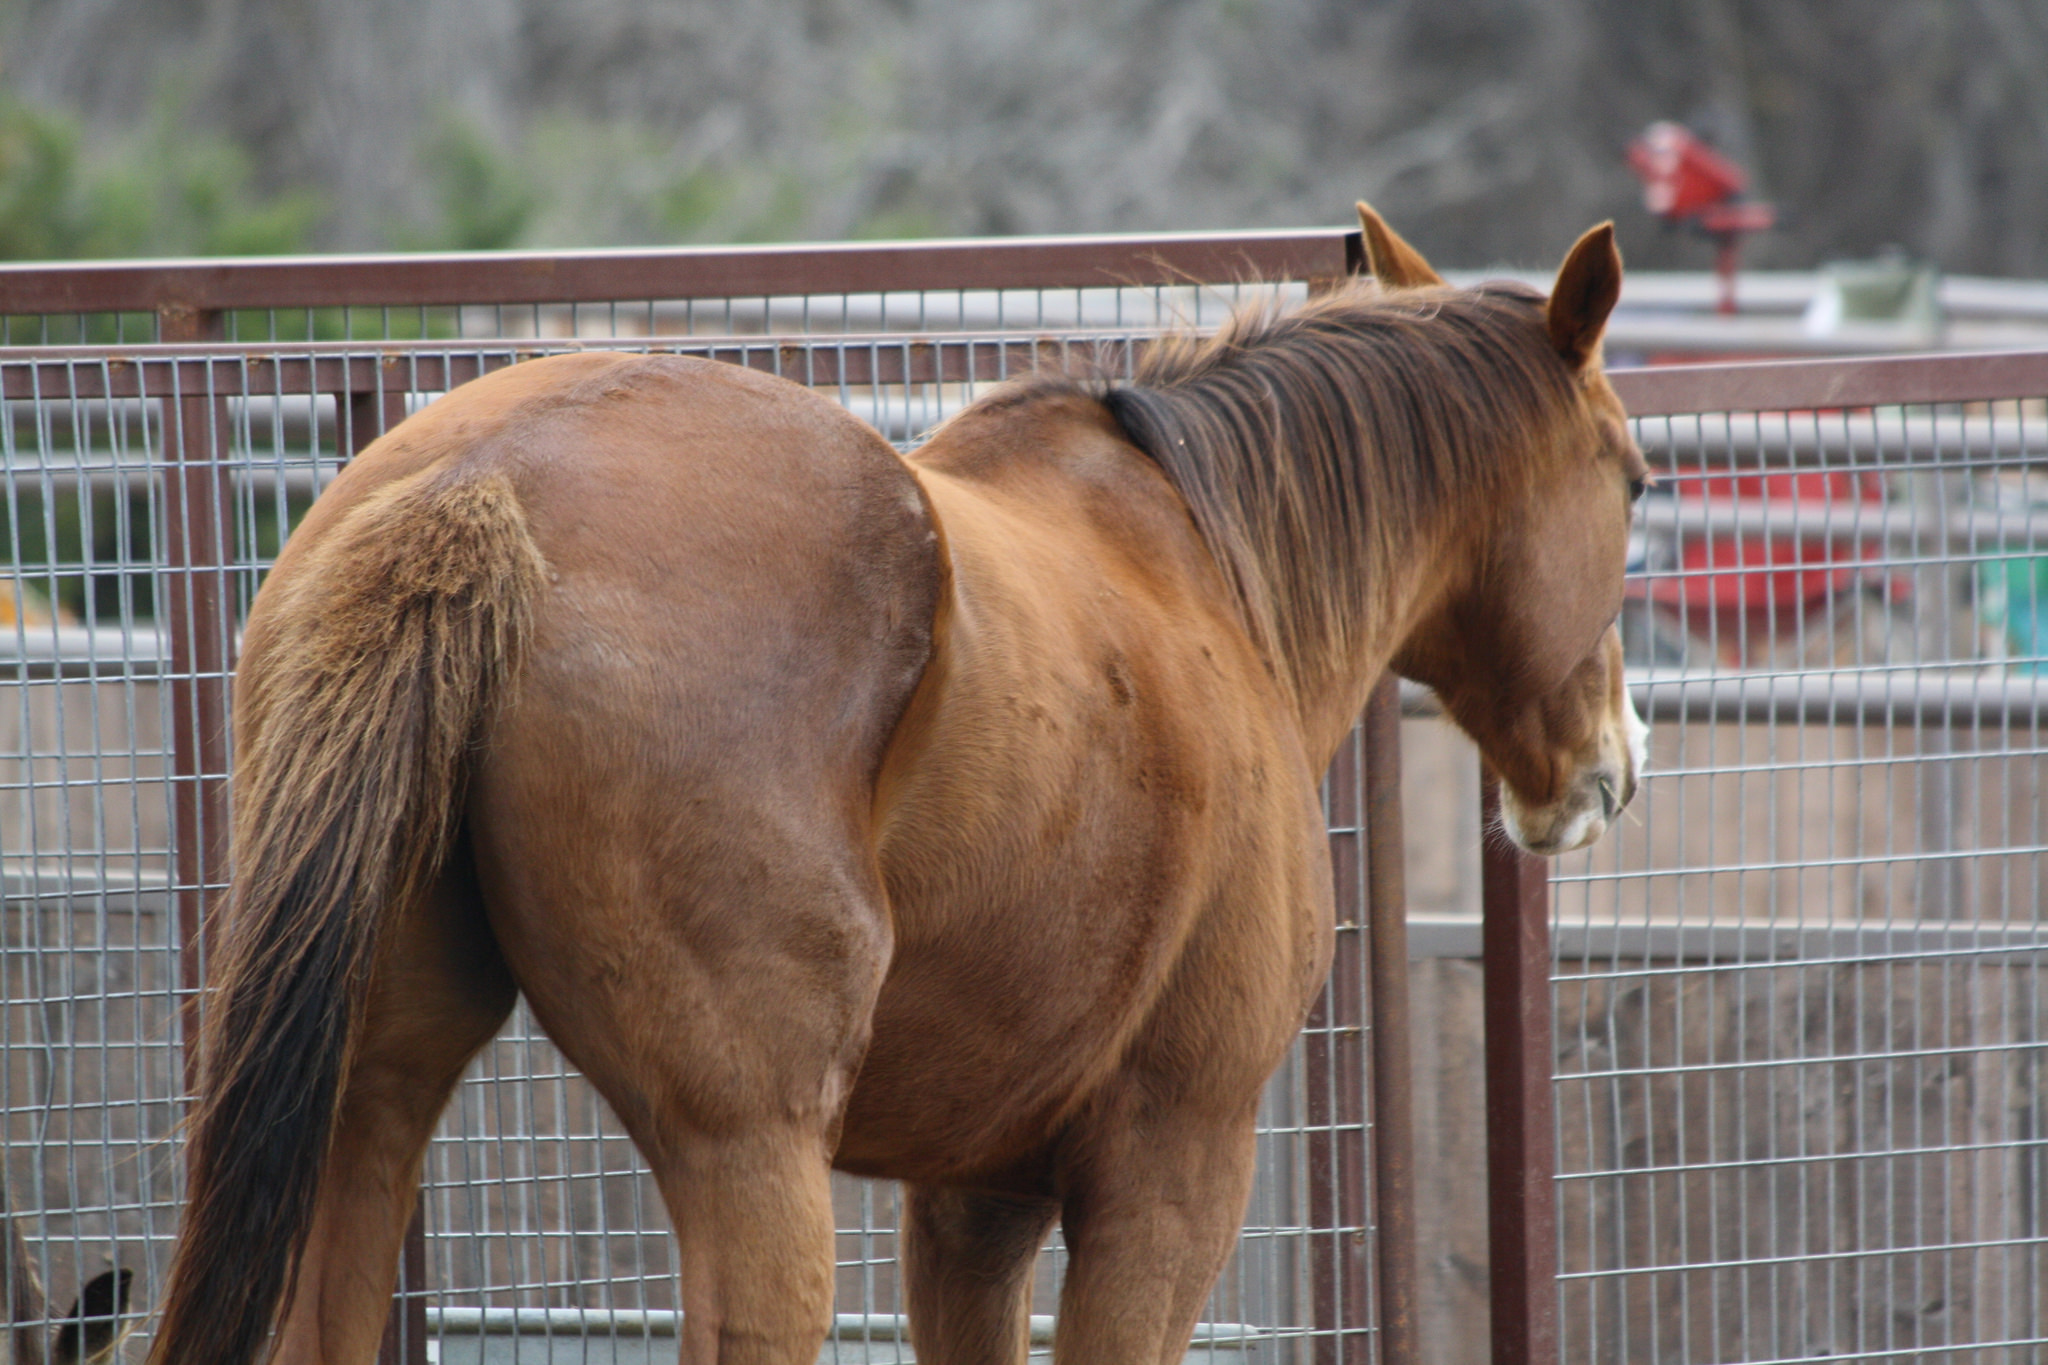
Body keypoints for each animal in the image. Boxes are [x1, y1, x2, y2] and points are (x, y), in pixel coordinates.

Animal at [148, 205, 1646, 1365]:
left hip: (370, 1094)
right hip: (753, 1155)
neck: (1204, 570)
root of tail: (475, 487)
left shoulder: (972, 1198)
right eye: (1635, 480)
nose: (1612, 764)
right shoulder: (1172, 1163)